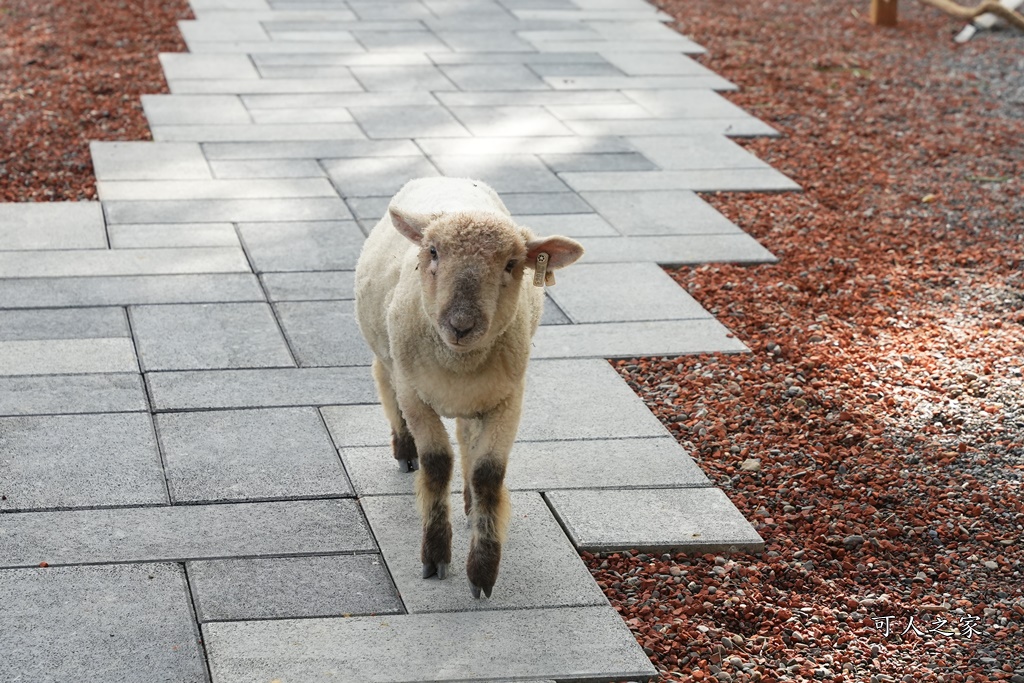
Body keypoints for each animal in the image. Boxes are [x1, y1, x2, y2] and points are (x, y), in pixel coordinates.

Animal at [356, 178, 585, 598]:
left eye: (512, 264)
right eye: (432, 251)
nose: (461, 324)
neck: (457, 362)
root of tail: (447, 178)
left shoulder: (508, 401)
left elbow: (487, 475)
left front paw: (482, 570)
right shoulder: (415, 396)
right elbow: (436, 464)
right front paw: (434, 556)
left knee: (465, 435)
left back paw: (466, 502)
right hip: (387, 353)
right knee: (383, 379)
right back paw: (404, 449)